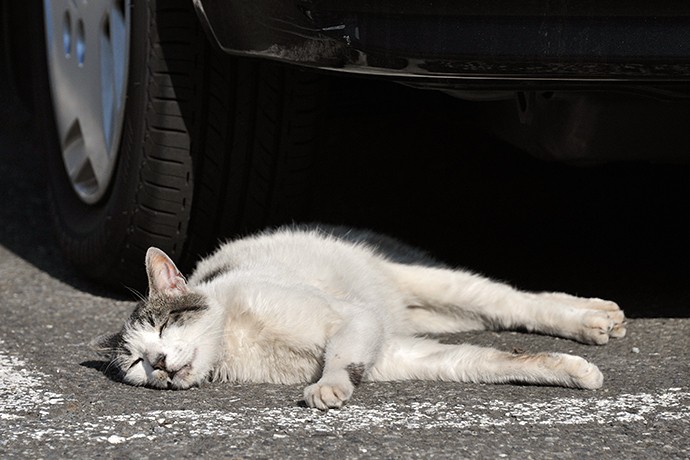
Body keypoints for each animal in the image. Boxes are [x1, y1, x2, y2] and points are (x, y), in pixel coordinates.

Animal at [92, 226, 624, 410]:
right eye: (137, 364)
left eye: (163, 327)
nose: (159, 364)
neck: (235, 344)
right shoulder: (396, 351)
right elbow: (492, 362)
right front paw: (572, 372)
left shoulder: (353, 319)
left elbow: (338, 357)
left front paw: (328, 387)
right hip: (431, 317)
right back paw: (600, 318)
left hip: (441, 285)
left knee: (517, 301)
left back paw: (592, 318)